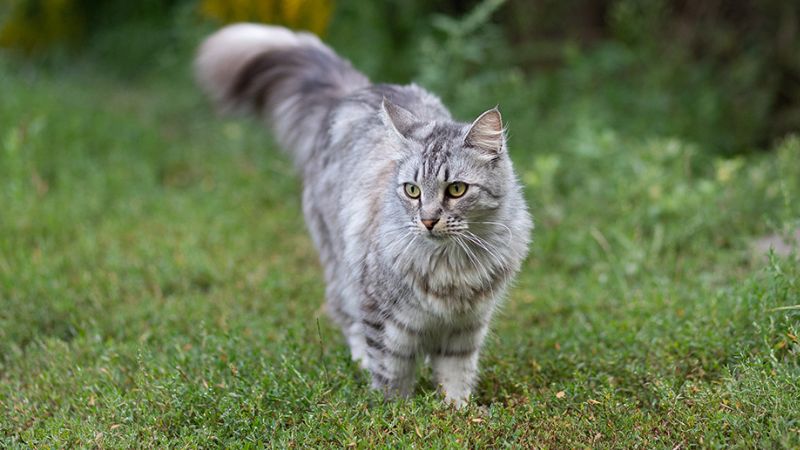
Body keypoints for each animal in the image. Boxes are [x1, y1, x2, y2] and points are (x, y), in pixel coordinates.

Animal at [194, 22, 532, 406]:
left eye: (456, 190)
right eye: (412, 191)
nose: (428, 220)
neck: (452, 267)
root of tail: (356, 91)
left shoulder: (466, 325)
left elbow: (455, 373)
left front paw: (457, 410)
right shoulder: (383, 316)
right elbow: (391, 370)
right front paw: (396, 410)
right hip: (342, 268)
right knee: (346, 317)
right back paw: (360, 363)